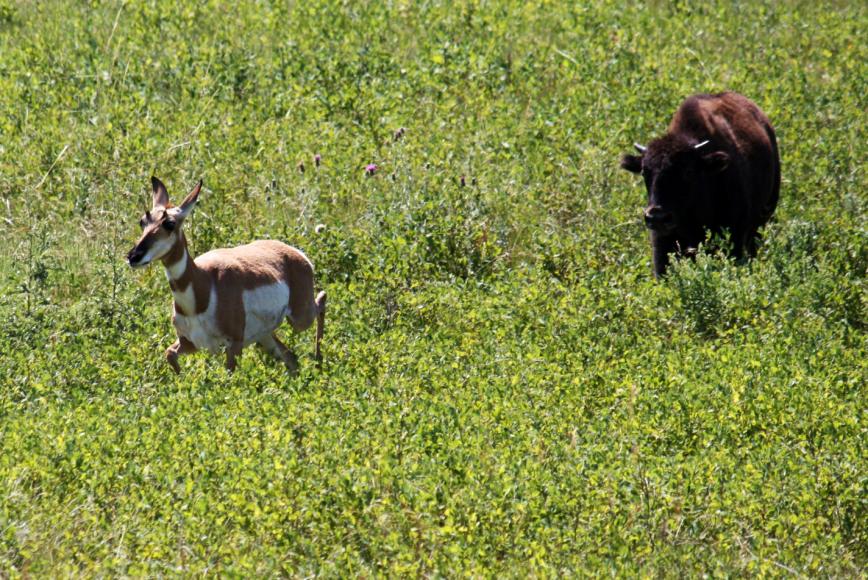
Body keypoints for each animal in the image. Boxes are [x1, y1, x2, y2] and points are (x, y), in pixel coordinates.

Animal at [127, 176, 326, 374]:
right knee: (291, 357)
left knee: (321, 301)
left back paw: (319, 361)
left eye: (169, 223)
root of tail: (297, 253)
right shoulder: (189, 343)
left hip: (300, 318)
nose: (133, 256)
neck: (203, 288)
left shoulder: (234, 344)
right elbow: (169, 353)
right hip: (265, 336)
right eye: (142, 221)